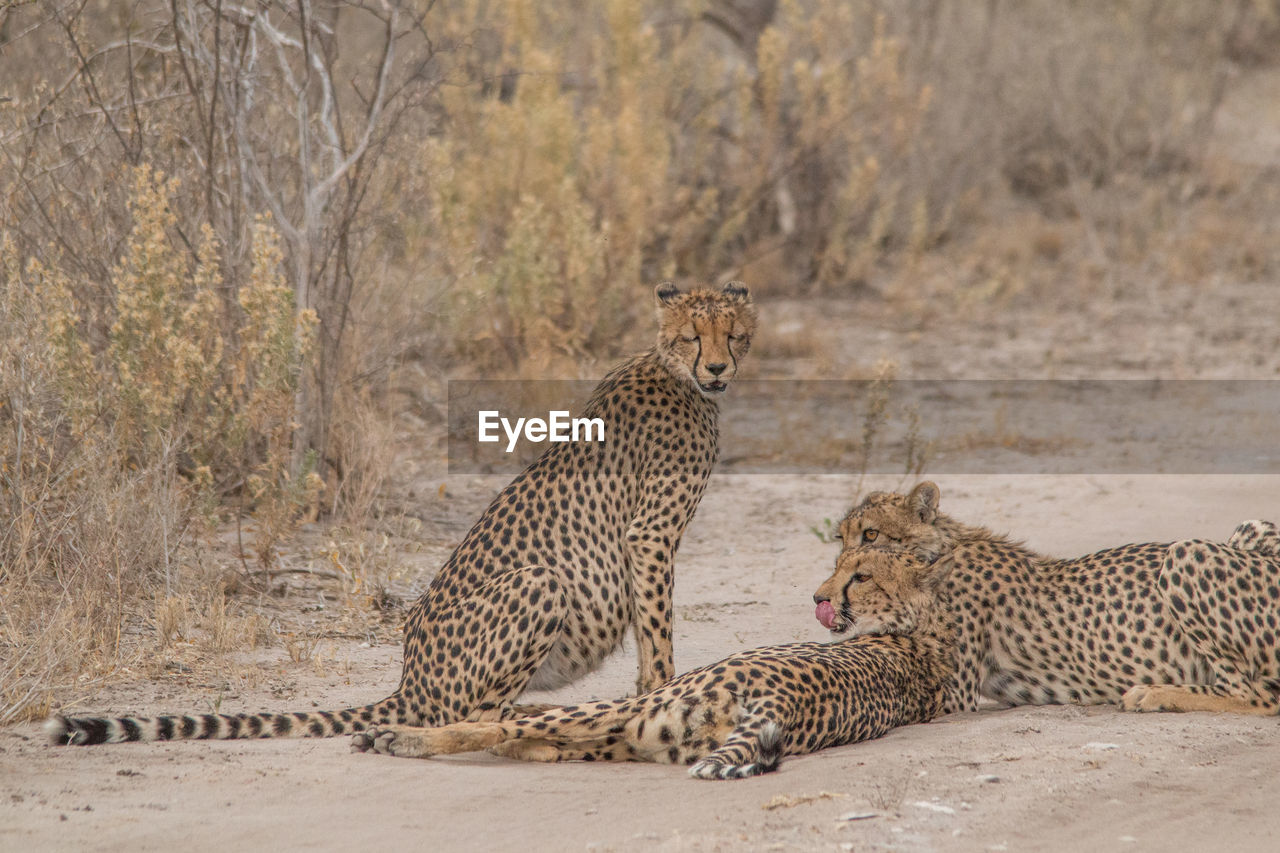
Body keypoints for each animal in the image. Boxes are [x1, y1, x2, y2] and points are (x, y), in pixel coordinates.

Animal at [47, 281, 757, 742]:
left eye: (735, 335)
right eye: (692, 337)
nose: (719, 369)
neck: (675, 373)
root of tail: (409, 675)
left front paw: (648, 697)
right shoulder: (649, 536)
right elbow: (658, 632)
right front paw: (658, 696)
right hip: (539, 582)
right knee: (467, 714)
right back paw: (524, 718)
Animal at [350, 548, 952, 778]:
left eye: (860, 573)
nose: (820, 596)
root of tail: (780, 703)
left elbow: (497, 721)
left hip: (633, 710)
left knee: (490, 722)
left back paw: (394, 737)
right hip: (648, 733)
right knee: (545, 740)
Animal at [819, 481, 1280, 712]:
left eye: (871, 535)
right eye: (840, 540)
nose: (818, 598)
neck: (934, 555)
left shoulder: (954, 693)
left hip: (1186, 553)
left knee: (1259, 697)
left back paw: (1155, 694)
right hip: (1250, 525)